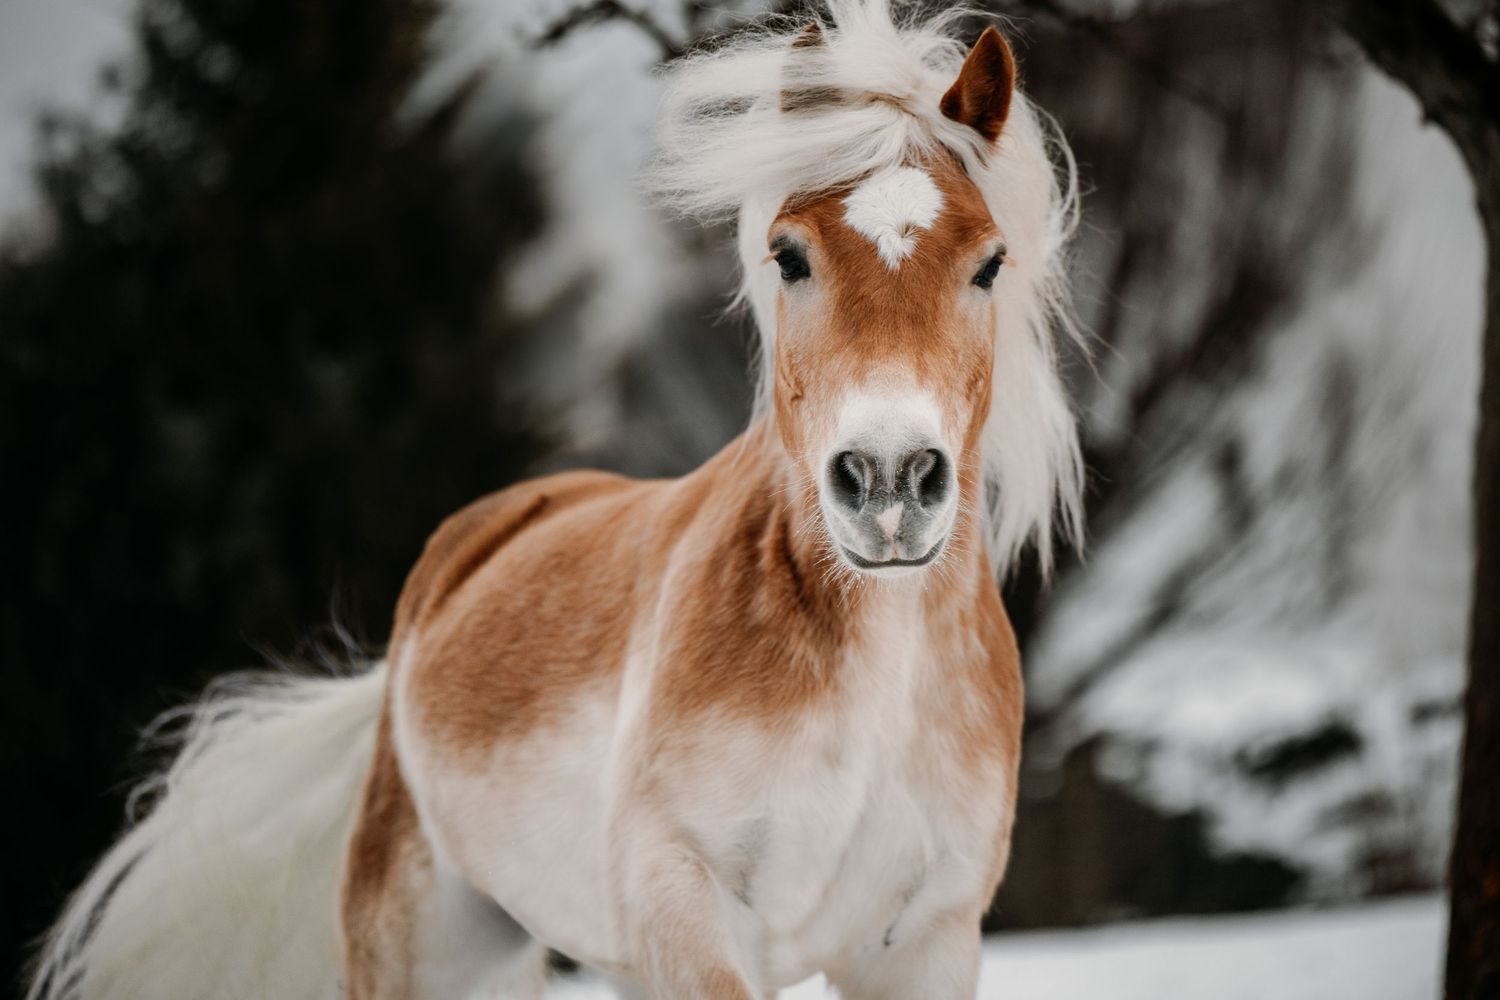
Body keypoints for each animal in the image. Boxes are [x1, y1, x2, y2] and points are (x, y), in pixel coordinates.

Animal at [28, 3, 1084, 997]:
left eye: (989, 263)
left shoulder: (926, 945)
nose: (890, 481)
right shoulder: (683, 910)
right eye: (790, 255)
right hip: (427, 951)